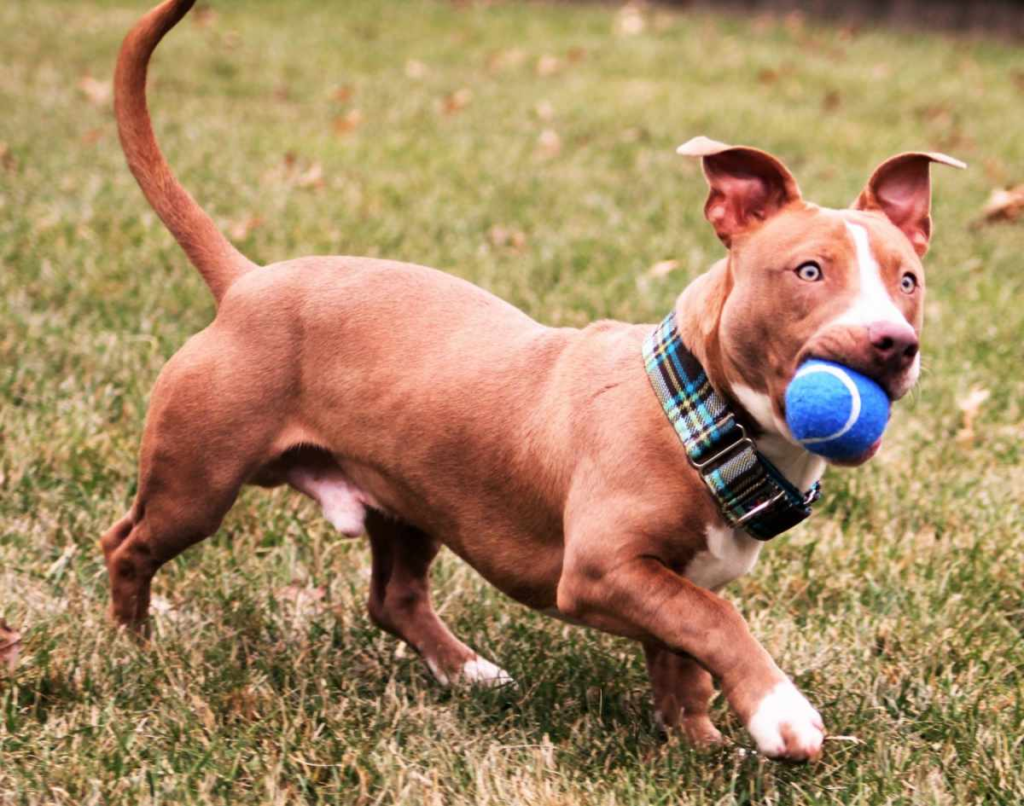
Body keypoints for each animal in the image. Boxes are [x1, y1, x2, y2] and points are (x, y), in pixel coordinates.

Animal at [103, 0, 958, 761]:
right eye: (809, 271)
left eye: (908, 280)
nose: (892, 343)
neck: (706, 421)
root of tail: (247, 281)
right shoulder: (603, 570)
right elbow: (715, 621)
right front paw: (782, 714)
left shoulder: (662, 580)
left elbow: (684, 653)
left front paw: (701, 741)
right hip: (198, 479)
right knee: (128, 543)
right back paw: (135, 647)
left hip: (408, 496)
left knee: (393, 597)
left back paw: (466, 671)